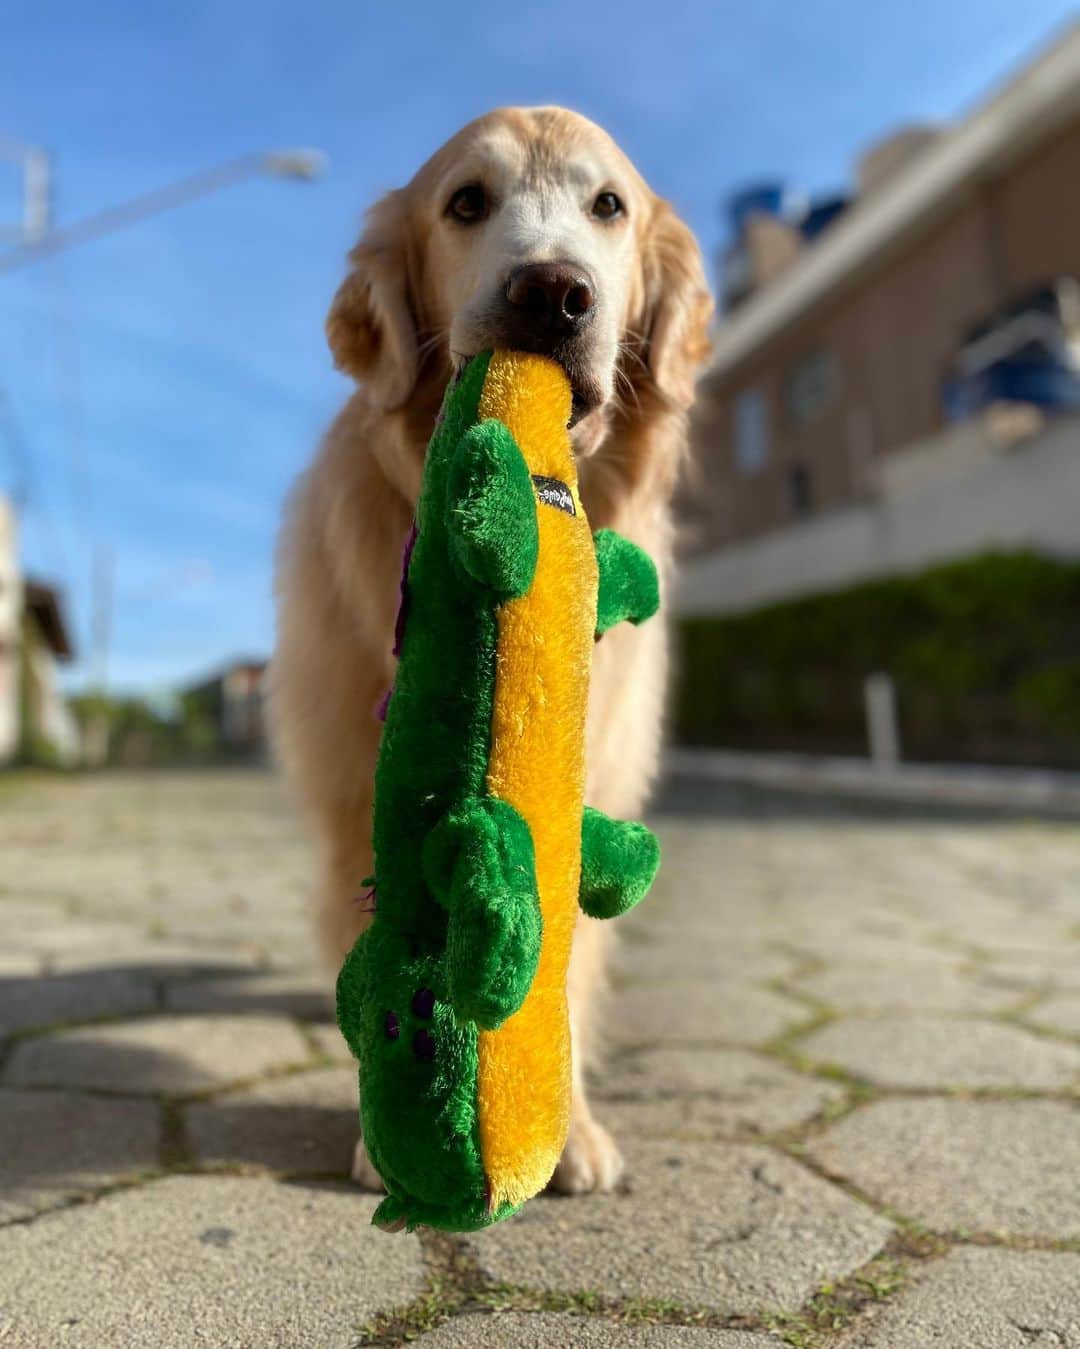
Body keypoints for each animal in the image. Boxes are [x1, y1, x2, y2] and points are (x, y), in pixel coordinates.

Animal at [269, 110, 711, 1197]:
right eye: (465, 202)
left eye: (609, 205)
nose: (552, 292)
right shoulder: (367, 783)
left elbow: (565, 956)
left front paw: (565, 1126)